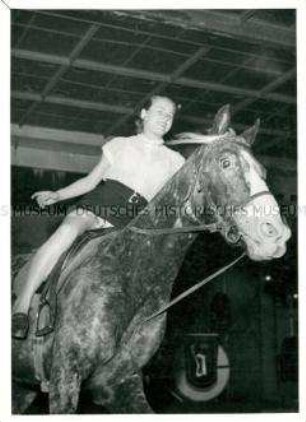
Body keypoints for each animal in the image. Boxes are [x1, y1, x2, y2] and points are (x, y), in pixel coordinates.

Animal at [12, 105, 292, 412]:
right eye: (226, 163)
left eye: (263, 171)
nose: (275, 234)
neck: (131, 273)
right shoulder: (65, 378)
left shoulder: (119, 384)